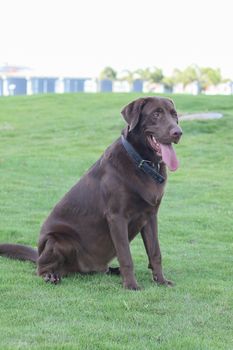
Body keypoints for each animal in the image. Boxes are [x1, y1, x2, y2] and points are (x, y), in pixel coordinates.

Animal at [0, 96, 182, 290]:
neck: (141, 162)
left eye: (174, 115)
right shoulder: (117, 217)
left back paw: (113, 271)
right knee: (41, 268)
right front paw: (131, 285)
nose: (178, 132)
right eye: (156, 114)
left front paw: (161, 280)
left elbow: (155, 253)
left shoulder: (150, 215)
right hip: (59, 240)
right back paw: (50, 276)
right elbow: (126, 256)